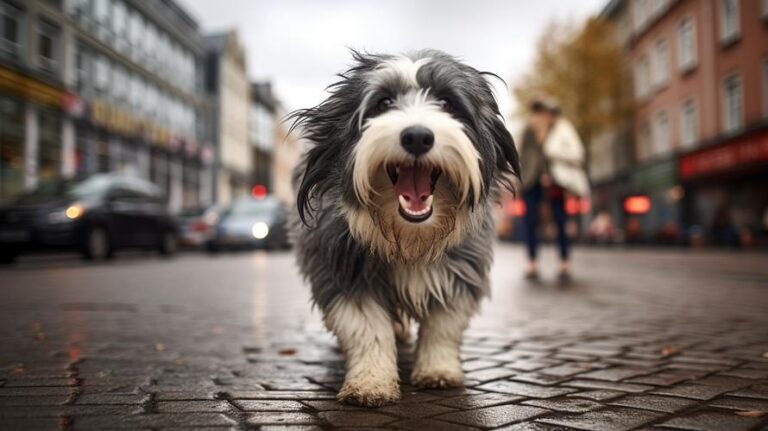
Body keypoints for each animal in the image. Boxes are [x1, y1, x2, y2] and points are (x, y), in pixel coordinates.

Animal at [292, 50, 520, 408]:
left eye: (447, 103)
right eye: (383, 103)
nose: (417, 136)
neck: (409, 239)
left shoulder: (461, 271)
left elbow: (443, 326)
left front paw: (438, 370)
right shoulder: (344, 271)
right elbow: (368, 329)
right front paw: (370, 382)